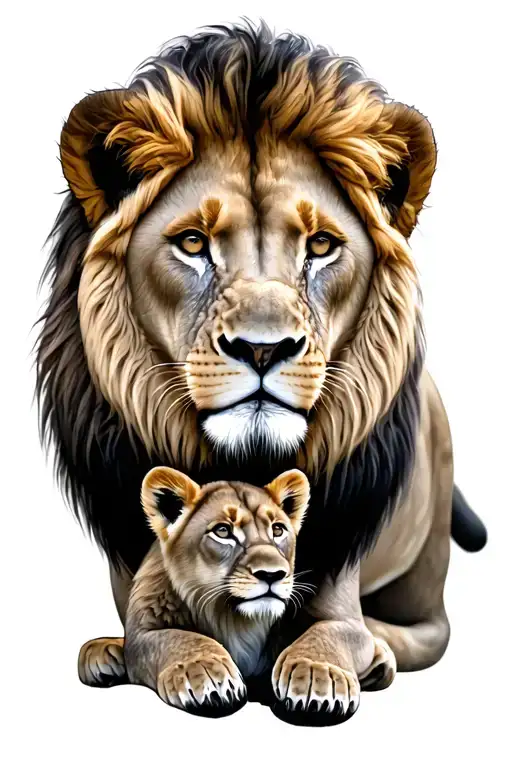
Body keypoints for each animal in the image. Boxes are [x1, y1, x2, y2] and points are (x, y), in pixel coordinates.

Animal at [36, 21, 486, 726]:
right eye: (193, 243)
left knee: (429, 629)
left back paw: (383, 651)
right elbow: (151, 632)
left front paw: (317, 672)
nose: (262, 348)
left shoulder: (336, 584)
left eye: (321, 245)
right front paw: (163, 657)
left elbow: (332, 631)